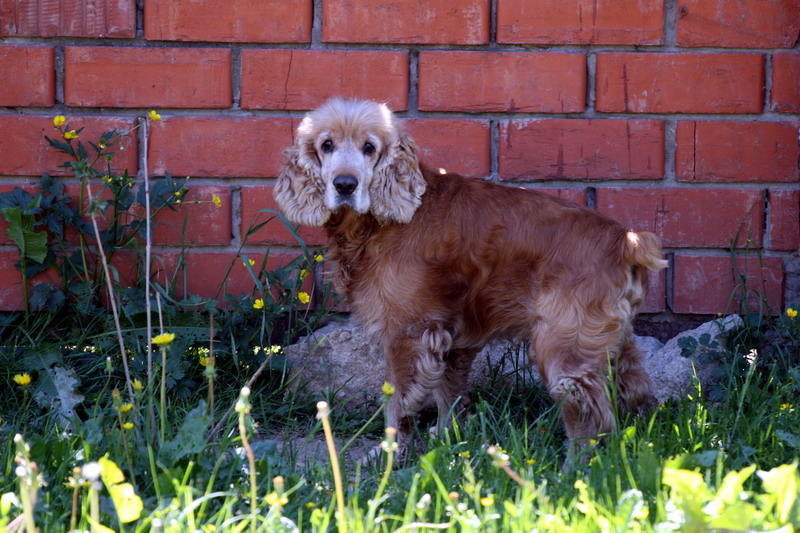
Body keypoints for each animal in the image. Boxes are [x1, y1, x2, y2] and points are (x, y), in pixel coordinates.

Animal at [276, 96, 668, 462]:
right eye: (327, 145)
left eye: (369, 148)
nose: (345, 184)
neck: (375, 223)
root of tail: (626, 240)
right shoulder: (449, 336)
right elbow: (449, 393)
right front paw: (448, 440)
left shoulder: (408, 333)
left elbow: (398, 402)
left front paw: (390, 452)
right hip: (611, 342)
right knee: (631, 393)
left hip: (563, 349)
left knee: (591, 415)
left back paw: (577, 469)